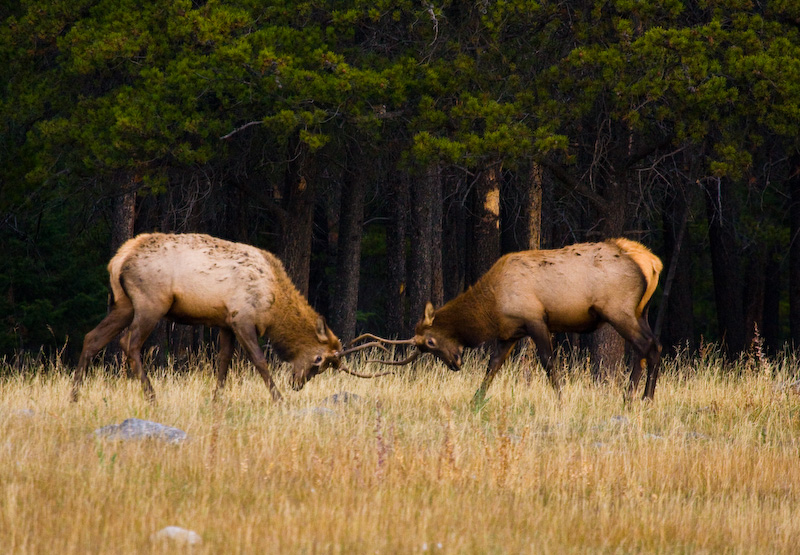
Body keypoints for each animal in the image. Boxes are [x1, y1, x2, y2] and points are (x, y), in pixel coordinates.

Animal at [70, 233, 390, 404]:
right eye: (318, 360)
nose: (297, 383)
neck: (273, 302)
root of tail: (119, 259)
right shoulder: (241, 318)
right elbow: (259, 360)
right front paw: (279, 399)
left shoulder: (224, 323)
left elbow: (223, 362)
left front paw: (216, 399)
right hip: (151, 302)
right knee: (130, 343)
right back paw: (152, 397)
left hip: (122, 304)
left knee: (91, 338)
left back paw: (74, 396)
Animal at [354, 238, 664, 404]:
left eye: (430, 342)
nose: (454, 363)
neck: (492, 307)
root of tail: (653, 262)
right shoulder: (510, 332)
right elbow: (493, 365)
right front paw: (475, 399)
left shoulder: (535, 319)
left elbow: (547, 361)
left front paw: (560, 398)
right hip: (640, 312)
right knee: (651, 347)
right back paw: (634, 397)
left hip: (619, 310)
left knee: (647, 346)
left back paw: (640, 398)